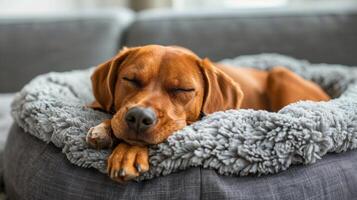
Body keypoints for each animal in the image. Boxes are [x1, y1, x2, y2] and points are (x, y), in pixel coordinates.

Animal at [86, 44, 328, 182]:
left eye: (183, 90)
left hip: (279, 74)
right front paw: (104, 129)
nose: (138, 117)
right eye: (130, 79)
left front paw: (128, 151)